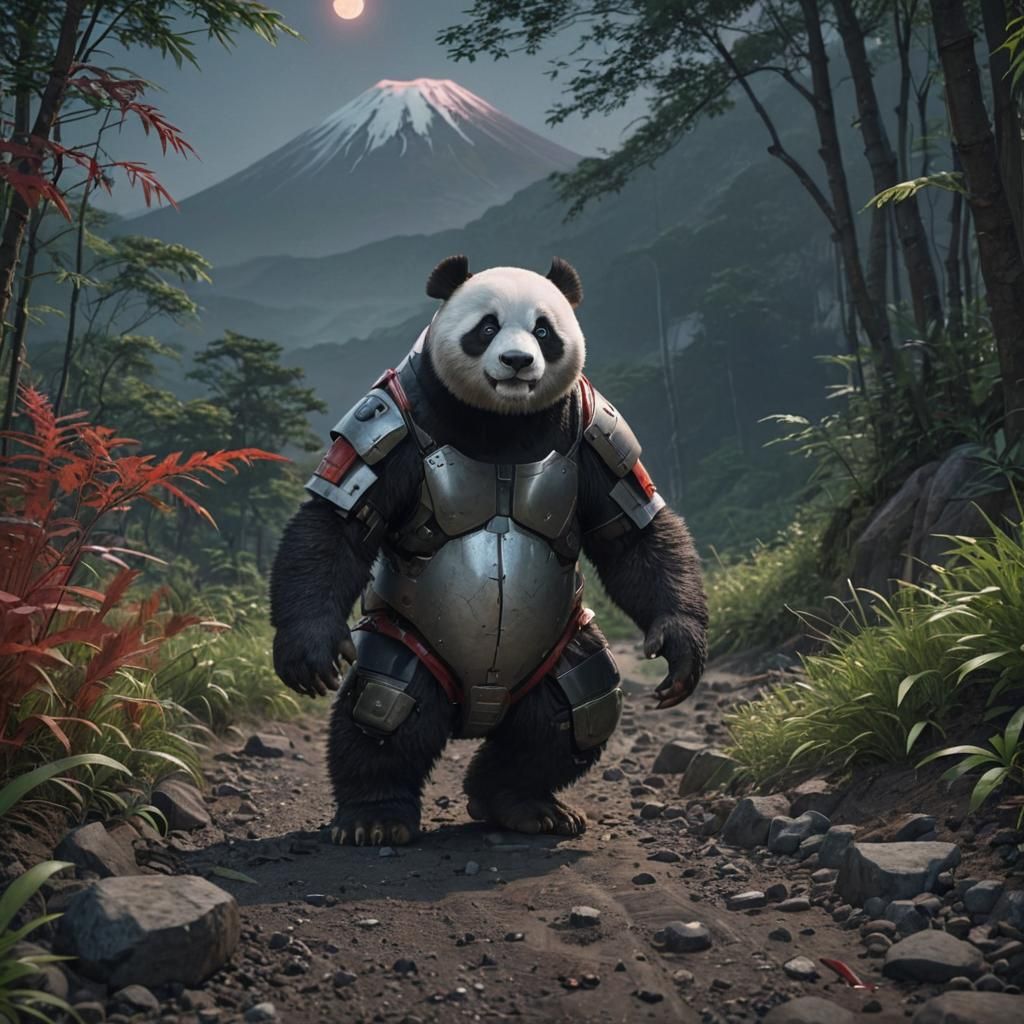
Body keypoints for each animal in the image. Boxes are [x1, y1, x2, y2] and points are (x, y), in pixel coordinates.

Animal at [269, 255, 707, 845]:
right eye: (487, 327)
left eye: (544, 330)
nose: (518, 362)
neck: (501, 423)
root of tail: (479, 708)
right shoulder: (390, 422)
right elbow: (338, 523)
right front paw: (310, 652)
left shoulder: (593, 430)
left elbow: (632, 532)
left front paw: (680, 649)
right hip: (412, 638)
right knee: (386, 703)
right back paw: (375, 815)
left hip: (557, 646)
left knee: (573, 704)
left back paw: (523, 804)